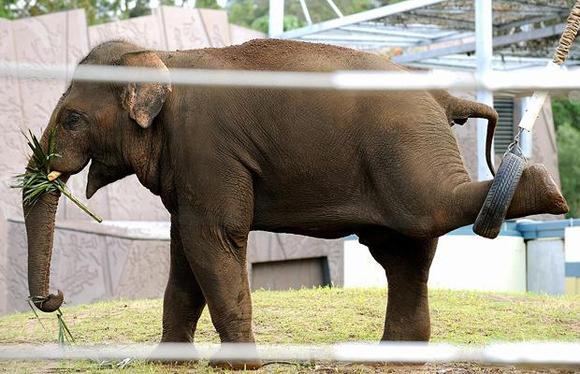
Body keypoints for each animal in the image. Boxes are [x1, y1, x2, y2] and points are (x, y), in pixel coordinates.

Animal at [24, 38, 568, 368]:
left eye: (72, 119)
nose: (55, 298)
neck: (162, 56)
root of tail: (442, 97)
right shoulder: (192, 164)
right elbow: (185, 254)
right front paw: (169, 363)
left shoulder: (208, 149)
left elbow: (212, 239)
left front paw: (239, 366)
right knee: (406, 252)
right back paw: (394, 357)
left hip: (406, 145)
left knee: (427, 210)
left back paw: (544, 187)